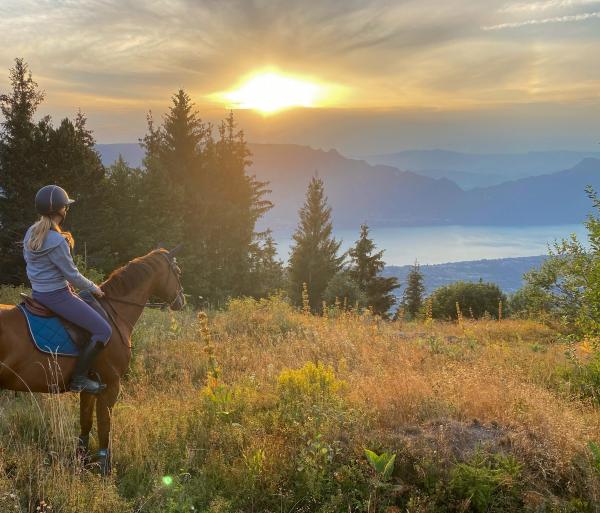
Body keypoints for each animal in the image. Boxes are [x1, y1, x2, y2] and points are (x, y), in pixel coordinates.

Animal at [0, 246, 185, 474]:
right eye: (178, 272)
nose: (181, 301)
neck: (114, 313)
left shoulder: (90, 387)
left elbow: (86, 422)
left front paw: (81, 460)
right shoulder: (111, 384)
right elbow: (105, 425)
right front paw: (105, 467)